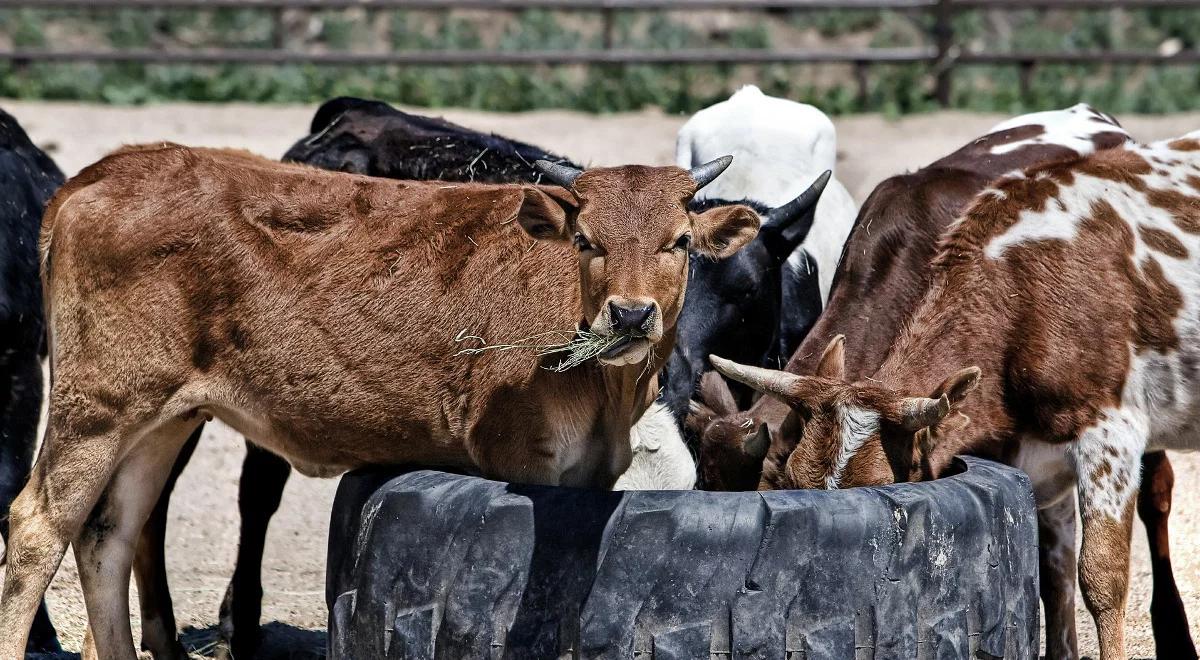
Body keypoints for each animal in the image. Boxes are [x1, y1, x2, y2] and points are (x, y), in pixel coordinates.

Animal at [0, 142, 758, 657]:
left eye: (679, 242)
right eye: (585, 239)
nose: (629, 315)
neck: (607, 390)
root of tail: (105, 172)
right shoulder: (521, 459)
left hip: (162, 418)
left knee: (110, 535)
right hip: (97, 408)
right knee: (38, 528)